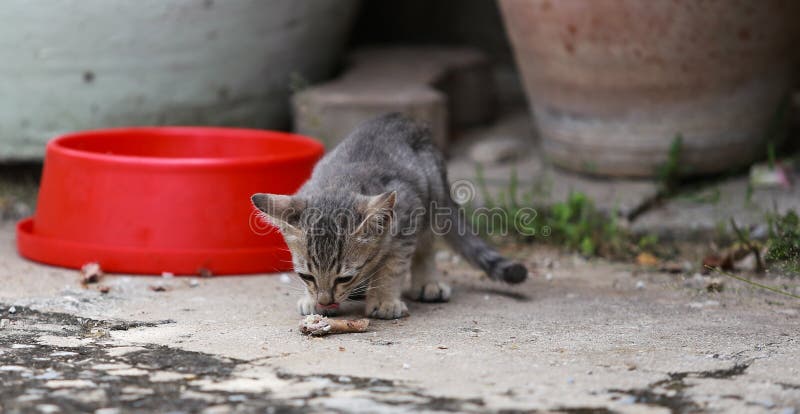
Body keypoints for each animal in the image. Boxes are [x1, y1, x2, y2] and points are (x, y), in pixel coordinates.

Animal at [250, 113, 524, 320]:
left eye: (344, 277)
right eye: (306, 276)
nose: (325, 301)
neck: (339, 182)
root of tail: (401, 118)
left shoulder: (405, 226)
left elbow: (392, 267)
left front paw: (384, 301)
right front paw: (311, 300)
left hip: (433, 202)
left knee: (426, 249)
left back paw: (428, 283)